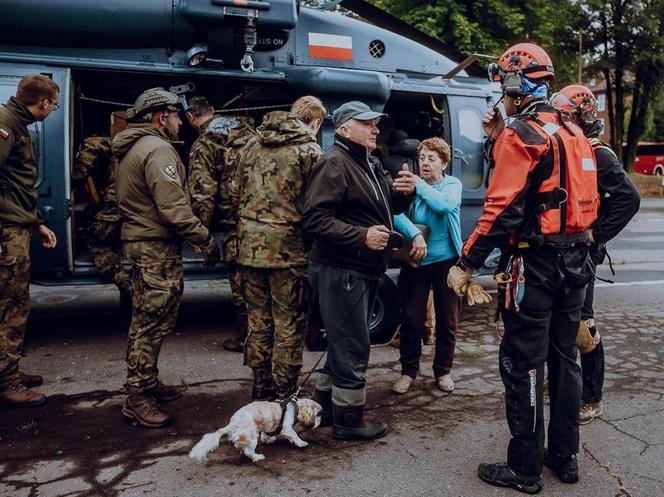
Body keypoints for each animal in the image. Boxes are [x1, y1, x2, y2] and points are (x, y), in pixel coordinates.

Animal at [188, 396, 322, 462]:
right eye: (318, 414)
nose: (321, 421)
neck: (294, 407)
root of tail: (233, 423)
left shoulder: (269, 426)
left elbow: (266, 435)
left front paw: (269, 440)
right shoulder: (286, 428)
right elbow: (294, 435)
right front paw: (301, 443)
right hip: (252, 437)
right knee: (248, 452)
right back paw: (257, 457)